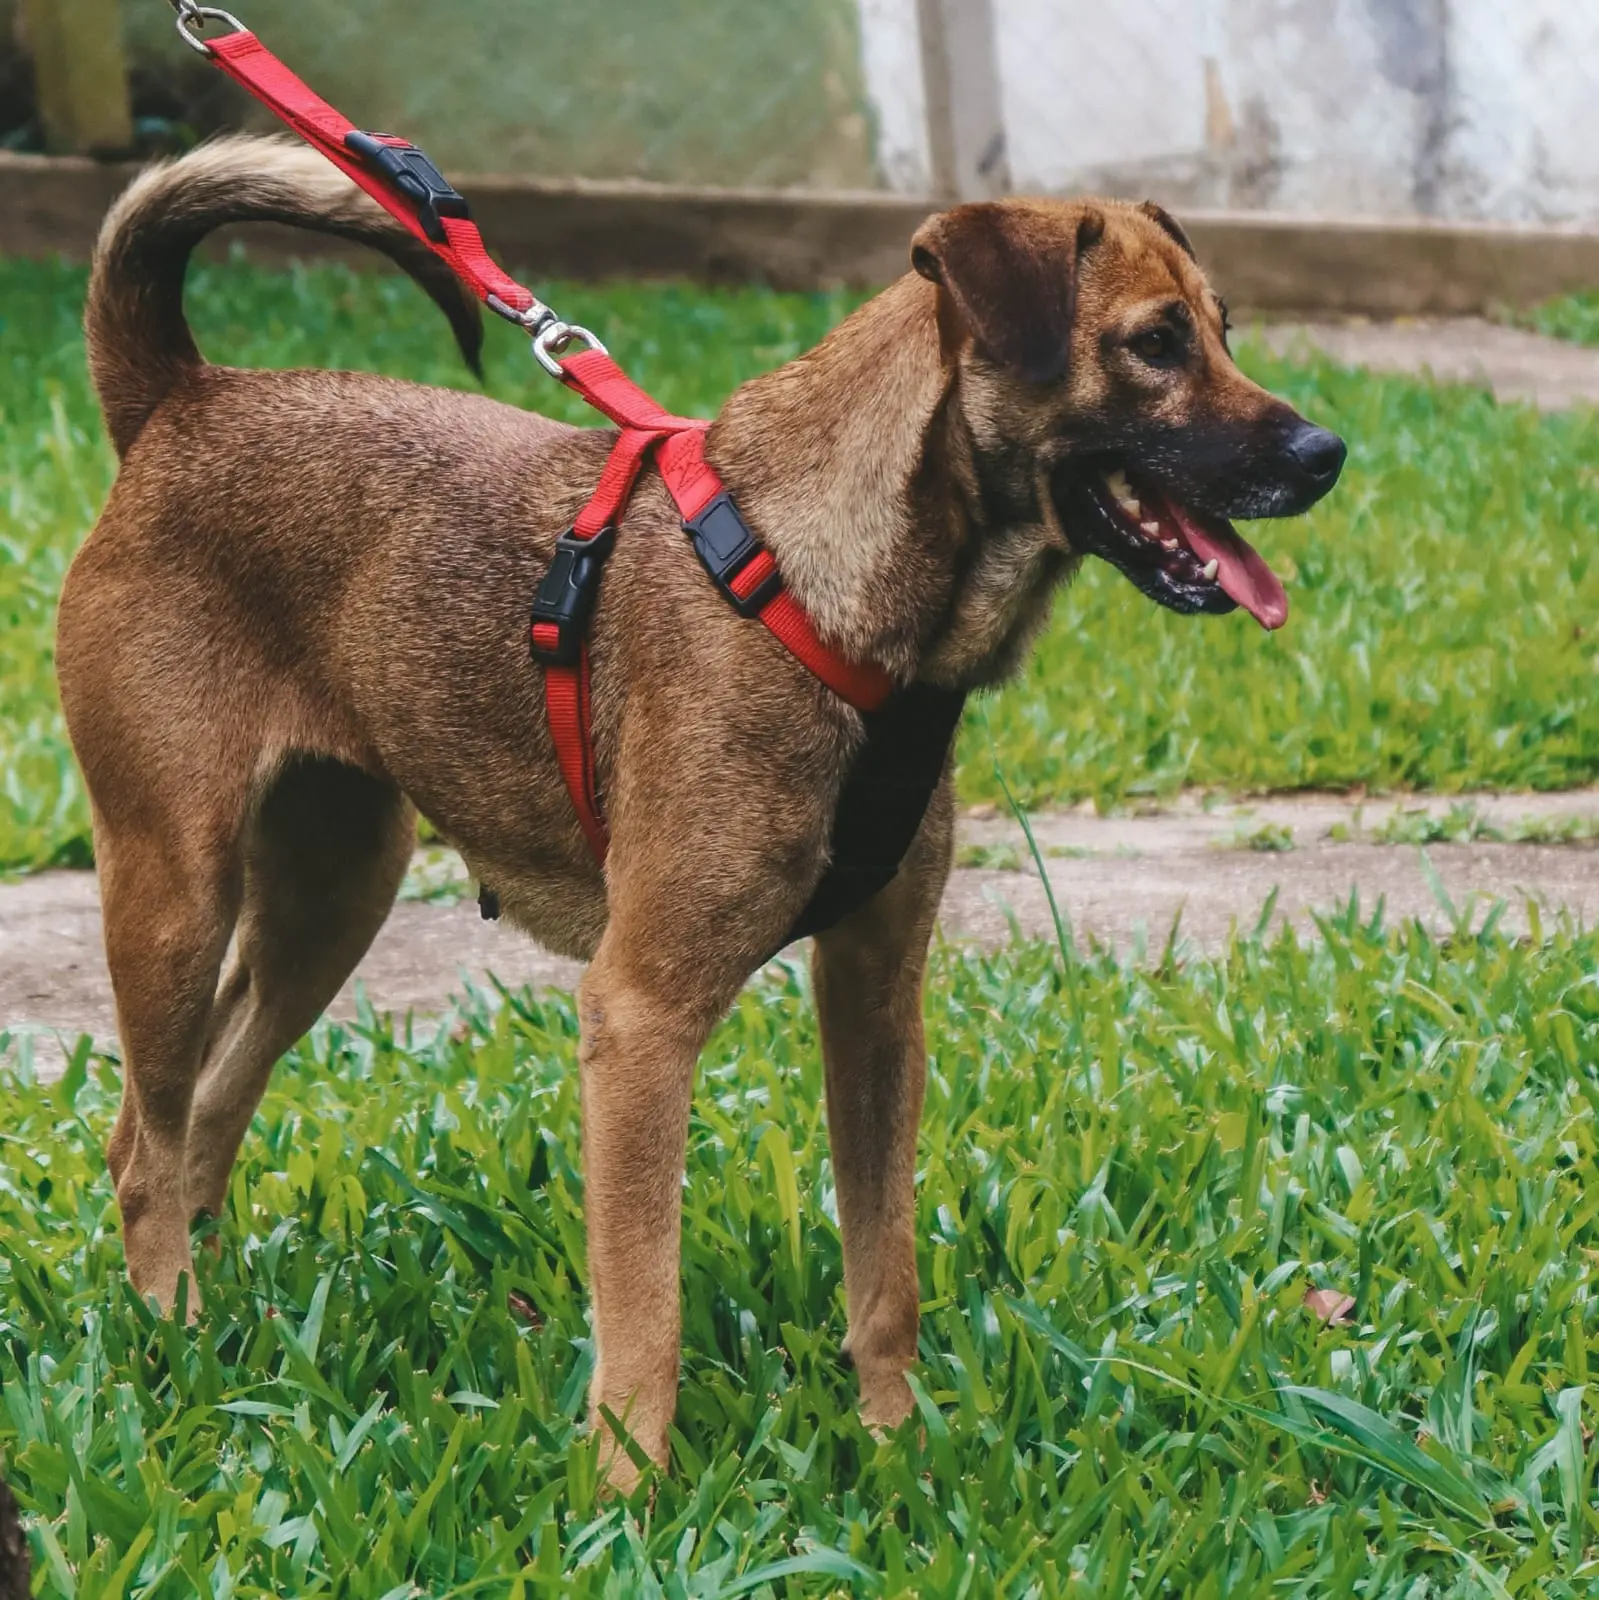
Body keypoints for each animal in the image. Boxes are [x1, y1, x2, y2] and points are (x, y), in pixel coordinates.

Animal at [56, 134, 1344, 1484]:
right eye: (1155, 343)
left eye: (1225, 332)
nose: (1325, 454)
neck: (821, 590)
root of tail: (181, 398)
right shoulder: (639, 1018)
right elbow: (645, 1310)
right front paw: (628, 1494)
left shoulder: (877, 998)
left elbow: (884, 1273)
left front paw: (896, 1453)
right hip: (174, 890)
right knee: (142, 1152)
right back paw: (176, 1339)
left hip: (328, 896)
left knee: (195, 1115)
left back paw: (219, 1325)